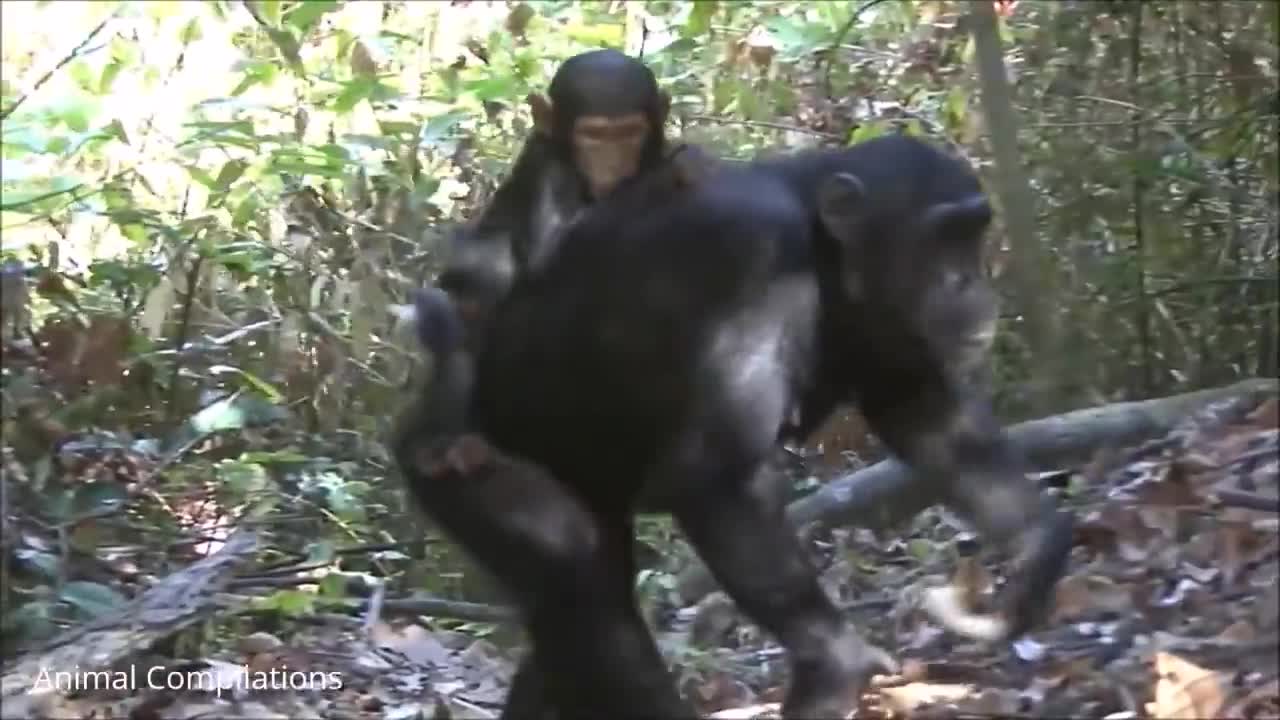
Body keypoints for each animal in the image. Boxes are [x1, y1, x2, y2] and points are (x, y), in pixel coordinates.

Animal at [394, 134, 1075, 717]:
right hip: (456, 463)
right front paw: (837, 665)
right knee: (574, 576)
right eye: (943, 239)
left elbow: (927, 417)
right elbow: (716, 476)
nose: (971, 280)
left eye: (972, 234)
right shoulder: (753, 258)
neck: (824, 246)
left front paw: (1036, 553)